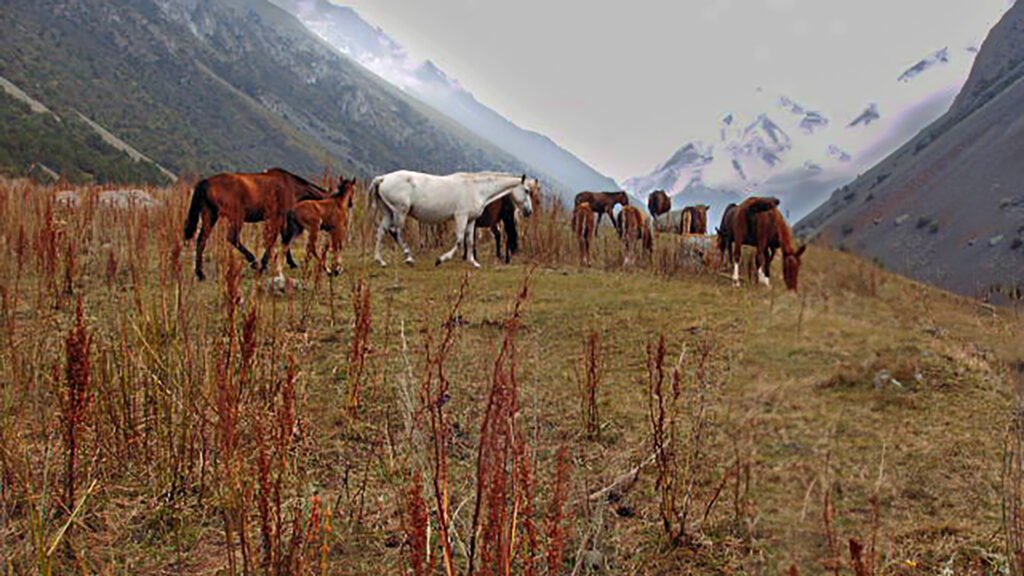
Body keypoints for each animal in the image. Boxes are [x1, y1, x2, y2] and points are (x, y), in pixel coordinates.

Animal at [183, 168, 328, 280]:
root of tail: (206, 182)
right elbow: (275, 239)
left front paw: (291, 263)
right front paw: (264, 264)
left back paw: (200, 274)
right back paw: (254, 261)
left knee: (202, 240)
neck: (292, 187)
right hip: (237, 217)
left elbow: (284, 240)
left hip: (210, 216)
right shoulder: (278, 217)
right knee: (233, 238)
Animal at [370, 171, 537, 268]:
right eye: (526, 190)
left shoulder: (471, 220)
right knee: (397, 232)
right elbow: (459, 241)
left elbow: (469, 241)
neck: (477, 188)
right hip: (400, 211)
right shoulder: (461, 217)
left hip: (389, 212)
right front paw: (441, 259)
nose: (529, 211)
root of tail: (383, 178)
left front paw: (474, 262)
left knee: (381, 232)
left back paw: (380, 261)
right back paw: (409, 258)